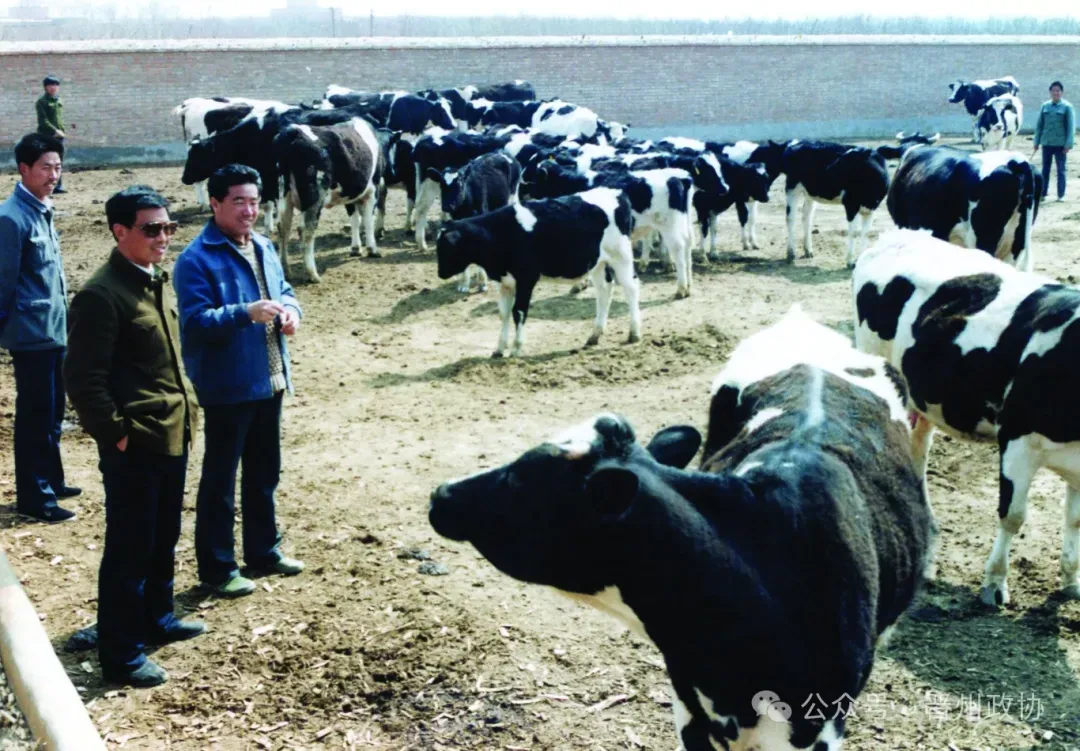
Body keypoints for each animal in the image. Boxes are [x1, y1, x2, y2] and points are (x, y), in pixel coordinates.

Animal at [273, 117, 384, 283]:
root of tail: (293, 131)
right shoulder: (372, 189)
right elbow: (368, 220)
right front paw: (372, 249)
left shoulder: (350, 195)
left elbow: (355, 220)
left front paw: (355, 248)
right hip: (315, 195)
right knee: (306, 230)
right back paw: (312, 274)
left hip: (283, 195)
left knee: (283, 228)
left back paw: (286, 271)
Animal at [434, 187, 641, 357]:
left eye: (446, 248)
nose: (440, 274)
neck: (499, 233)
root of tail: (618, 193)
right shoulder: (505, 281)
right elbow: (504, 313)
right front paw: (499, 349)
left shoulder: (526, 279)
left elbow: (519, 312)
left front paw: (516, 349)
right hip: (597, 263)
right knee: (604, 290)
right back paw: (595, 335)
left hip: (621, 256)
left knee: (631, 288)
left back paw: (634, 333)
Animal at [438, 151, 523, 293]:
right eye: (441, 186)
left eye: (459, 184)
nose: (447, 206)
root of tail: (501, 152)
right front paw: (463, 284)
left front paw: (482, 282)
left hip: (513, 196)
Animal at [854, 228, 1080, 606]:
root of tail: (897, 235)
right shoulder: (1017, 440)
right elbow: (1012, 515)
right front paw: (994, 583)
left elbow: (1074, 520)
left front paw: (1072, 582)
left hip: (920, 398)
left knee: (917, 451)